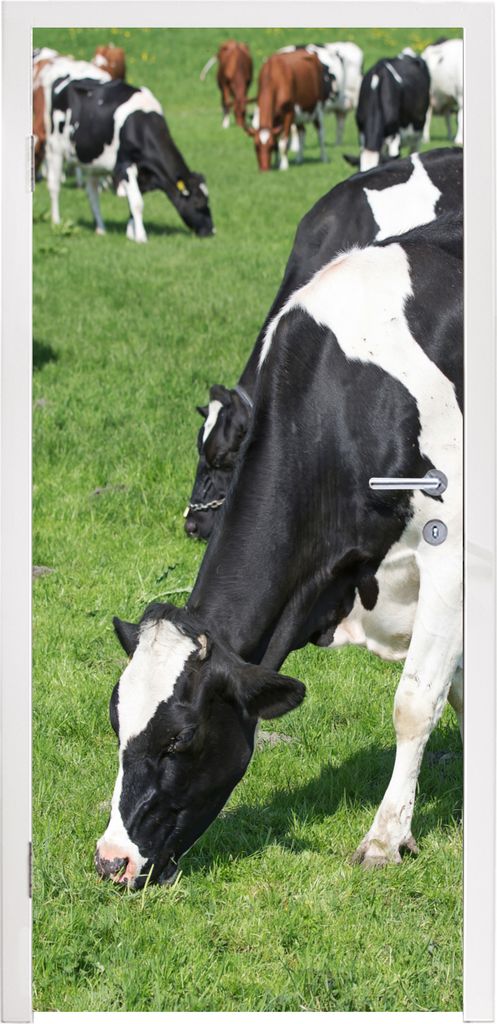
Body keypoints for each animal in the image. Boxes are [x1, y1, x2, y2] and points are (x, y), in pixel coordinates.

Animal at [43, 77, 214, 241]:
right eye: (198, 202)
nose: (211, 231)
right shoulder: (125, 166)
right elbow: (137, 202)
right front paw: (141, 237)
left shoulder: (142, 174)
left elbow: (133, 202)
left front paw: (131, 233)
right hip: (55, 148)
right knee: (54, 186)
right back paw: (56, 221)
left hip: (92, 163)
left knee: (92, 194)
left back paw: (101, 228)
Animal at [96, 209, 462, 887]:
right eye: (116, 722)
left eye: (180, 739)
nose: (112, 861)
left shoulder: (450, 557)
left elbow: (415, 702)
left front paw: (384, 838)